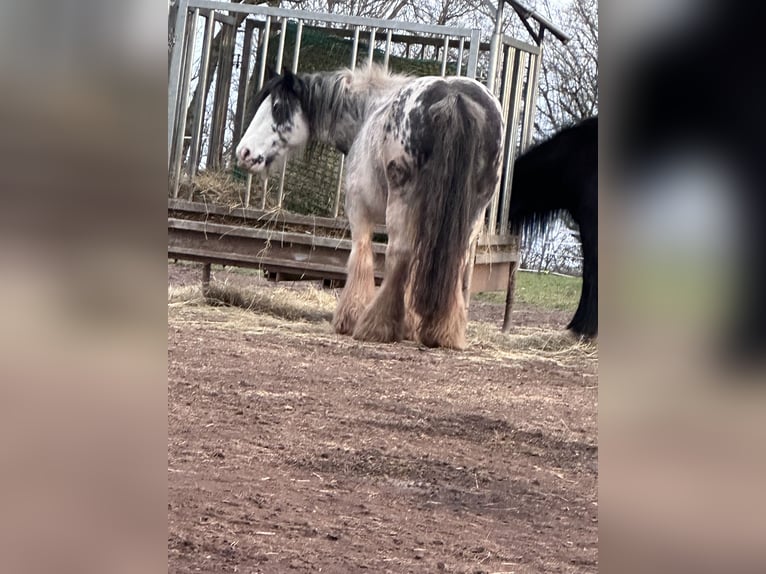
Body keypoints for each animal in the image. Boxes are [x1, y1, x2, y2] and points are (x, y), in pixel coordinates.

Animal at [237, 65, 508, 348]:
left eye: (277, 107)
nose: (243, 153)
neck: (369, 110)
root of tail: (453, 97)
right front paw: (410, 325)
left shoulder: (359, 210)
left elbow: (361, 257)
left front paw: (349, 318)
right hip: (472, 213)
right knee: (454, 260)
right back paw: (443, 332)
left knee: (400, 254)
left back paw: (376, 326)